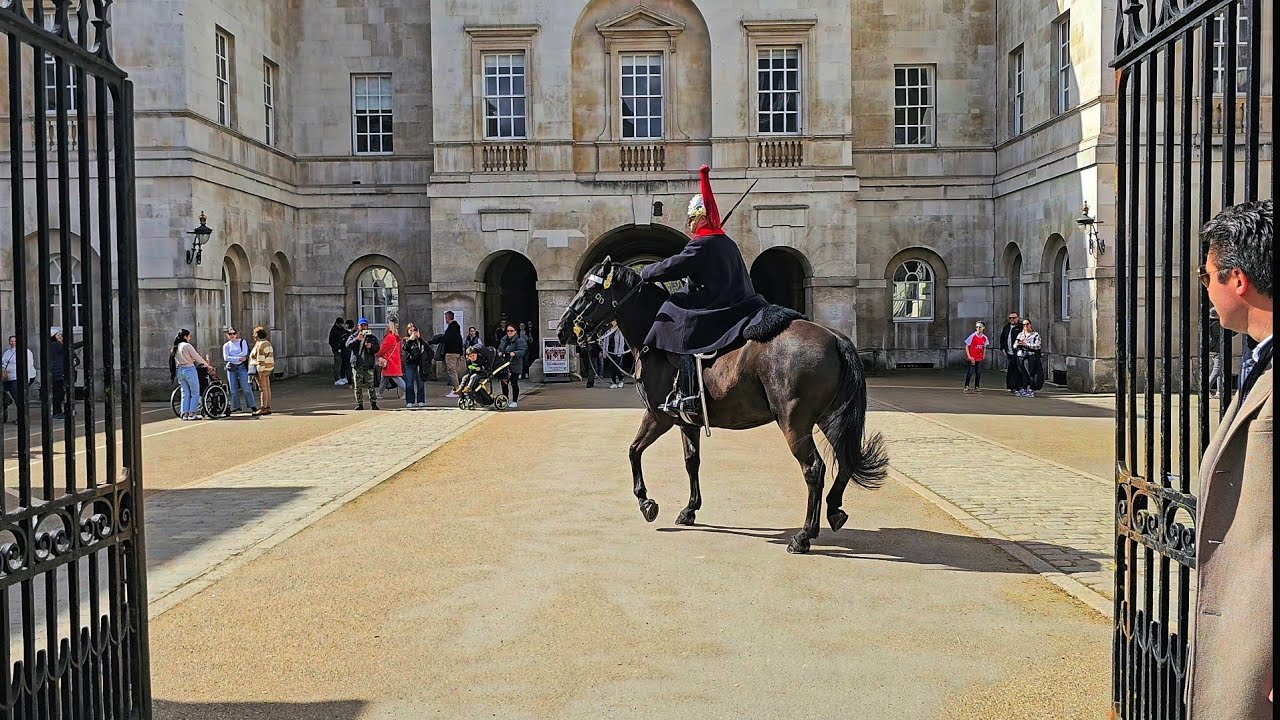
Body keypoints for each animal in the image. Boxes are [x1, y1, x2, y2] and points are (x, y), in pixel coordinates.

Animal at [557, 257, 888, 554]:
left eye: (590, 291)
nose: (562, 330)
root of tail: (834, 337)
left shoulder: (658, 416)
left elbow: (633, 451)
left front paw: (646, 502)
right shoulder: (685, 422)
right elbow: (691, 462)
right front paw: (689, 509)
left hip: (794, 423)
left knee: (814, 469)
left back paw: (804, 535)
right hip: (829, 418)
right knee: (844, 460)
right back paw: (833, 511)